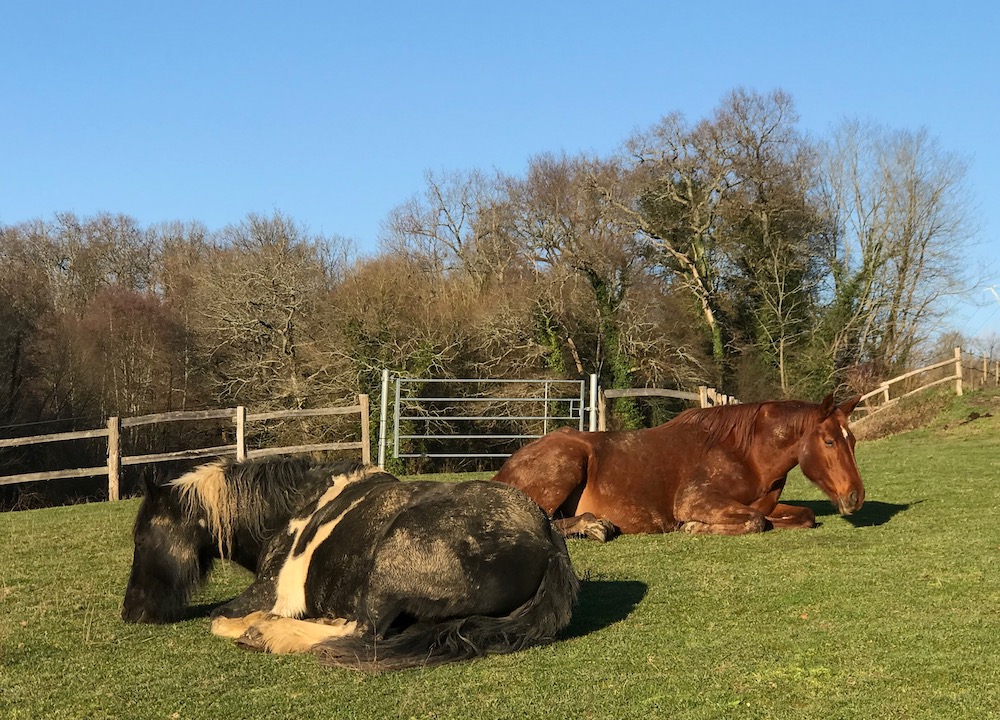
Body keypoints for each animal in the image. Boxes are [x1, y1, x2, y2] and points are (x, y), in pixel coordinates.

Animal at [122, 457, 578, 672]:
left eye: (140, 538)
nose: (130, 612)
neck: (288, 510)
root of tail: (546, 536)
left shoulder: (264, 593)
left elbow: (218, 619)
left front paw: (258, 626)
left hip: (392, 560)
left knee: (364, 630)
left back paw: (271, 633)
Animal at [492, 394, 864, 540]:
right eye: (829, 442)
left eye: (854, 441)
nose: (856, 497)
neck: (746, 455)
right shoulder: (696, 500)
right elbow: (756, 522)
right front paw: (694, 527)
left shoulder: (765, 505)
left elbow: (801, 516)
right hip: (567, 464)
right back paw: (594, 526)